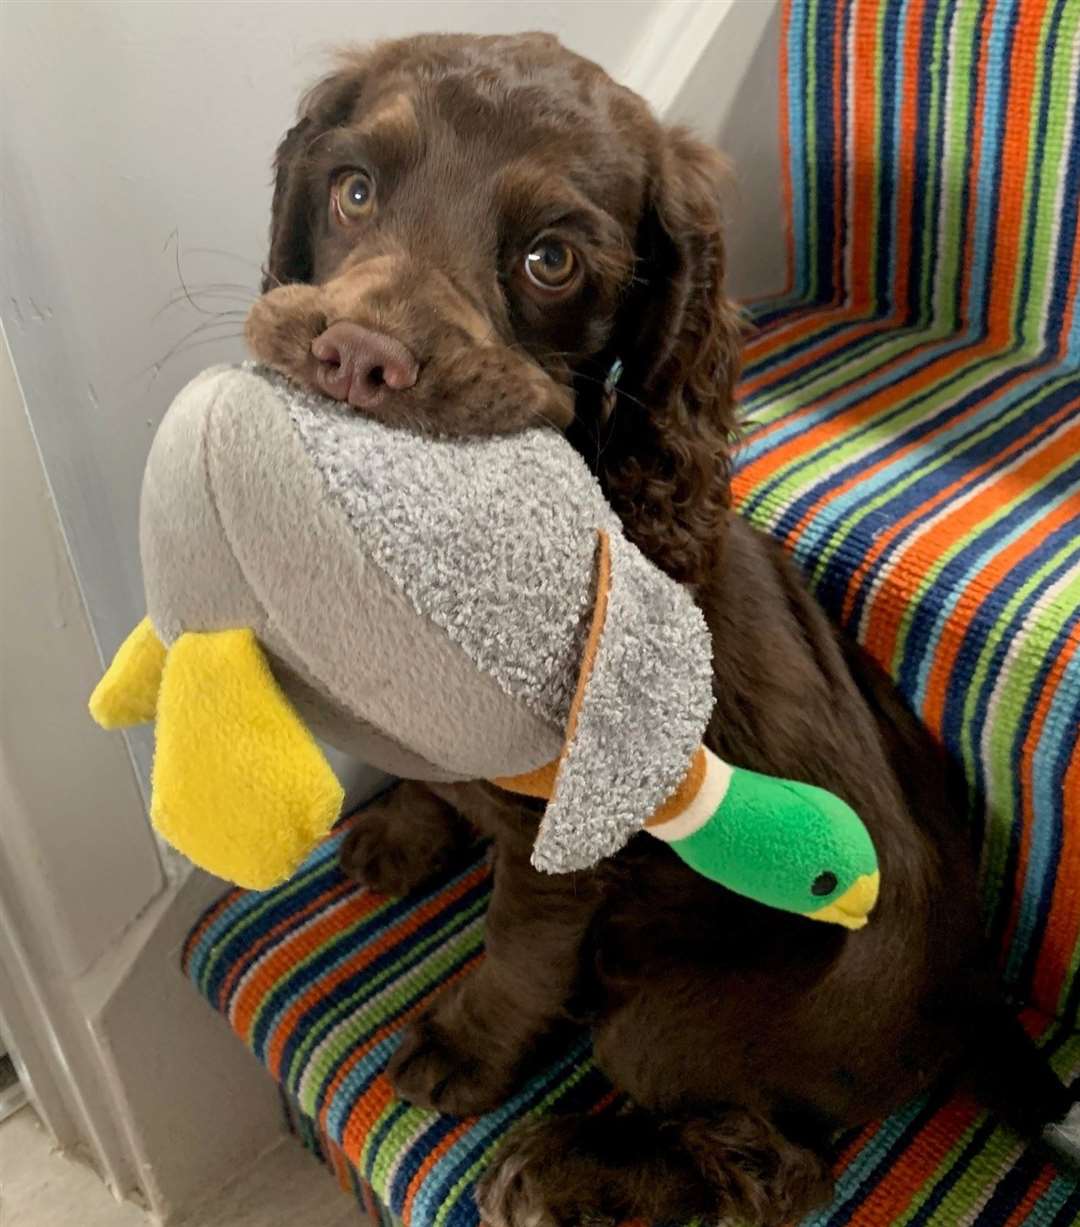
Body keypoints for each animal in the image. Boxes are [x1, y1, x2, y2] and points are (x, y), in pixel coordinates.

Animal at [246, 31, 1070, 1227]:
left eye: (551, 260)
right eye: (353, 191)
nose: (358, 358)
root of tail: (975, 993)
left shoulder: (568, 837)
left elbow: (520, 947)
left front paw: (465, 1047)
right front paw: (404, 825)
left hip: (685, 1022)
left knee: (775, 1161)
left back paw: (568, 1168)